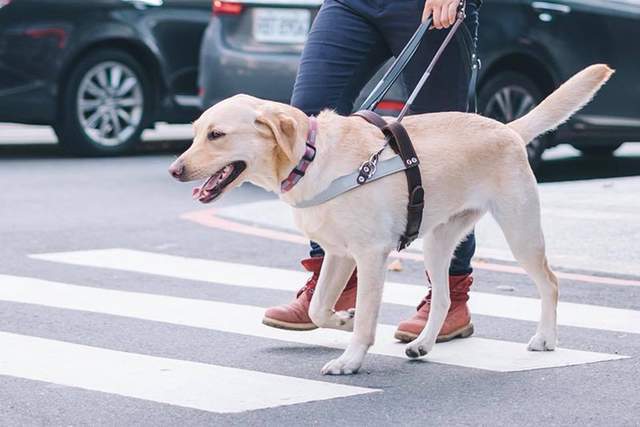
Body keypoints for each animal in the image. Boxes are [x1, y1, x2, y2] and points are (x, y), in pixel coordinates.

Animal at [170, 65, 616, 376]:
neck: (311, 157)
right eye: (195, 132)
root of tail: (507, 129)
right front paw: (341, 319)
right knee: (444, 298)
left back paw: (545, 338)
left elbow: (367, 317)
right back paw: (423, 344)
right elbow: (316, 307)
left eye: (216, 135)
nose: (175, 169)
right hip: (438, 242)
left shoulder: (370, 255)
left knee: (550, 283)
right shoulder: (337, 255)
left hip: (520, 231)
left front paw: (350, 359)